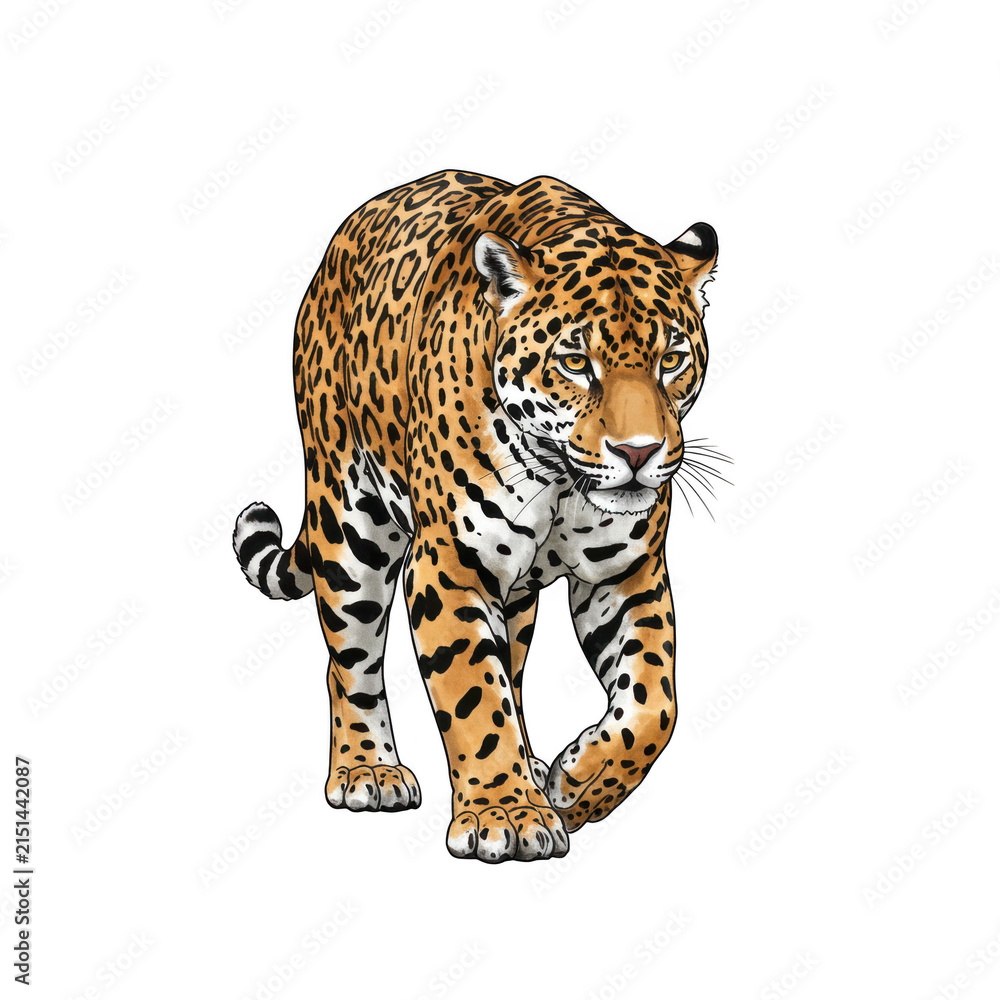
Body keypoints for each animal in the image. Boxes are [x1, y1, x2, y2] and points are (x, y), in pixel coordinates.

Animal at [233, 170, 720, 863]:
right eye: (576, 362)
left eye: (671, 359)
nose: (638, 452)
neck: (560, 481)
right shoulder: (450, 569)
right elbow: (473, 696)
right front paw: (507, 815)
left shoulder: (626, 574)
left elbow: (655, 703)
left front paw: (578, 785)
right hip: (349, 522)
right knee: (350, 660)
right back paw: (366, 770)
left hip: (515, 597)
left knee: (513, 668)